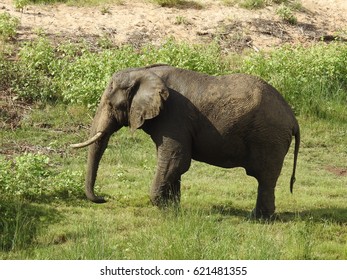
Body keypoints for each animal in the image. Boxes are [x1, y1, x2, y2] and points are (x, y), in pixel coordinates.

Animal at [72, 64, 300, 219]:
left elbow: (175, 159)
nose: (104, 198)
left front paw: (162, 207)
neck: (143, 71)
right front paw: (173, 209)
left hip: (269, 137)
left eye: (111, 105)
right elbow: (174, 163)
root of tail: (292, 117)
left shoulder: (174, 116)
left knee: (265, 177)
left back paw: (259, 218)